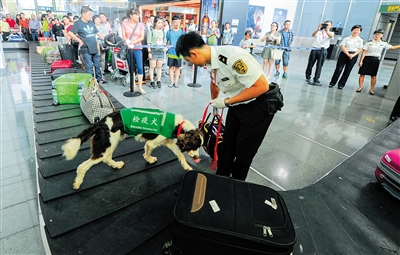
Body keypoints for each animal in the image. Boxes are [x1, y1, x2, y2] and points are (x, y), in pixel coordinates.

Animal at [63, 107, 205, 189]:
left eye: (199, 147)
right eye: (195, 146)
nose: (197, 158)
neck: (177, 125)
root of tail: (100, 123)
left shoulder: (168, 142)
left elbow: (180, 155)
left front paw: (187, 167)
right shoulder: (152, 142)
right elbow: (148, 150)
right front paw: (149, 159)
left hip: (112, 143)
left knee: (107, 159)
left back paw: (117, 165)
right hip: (105, 147)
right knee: (82, 167)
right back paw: (77, 183)